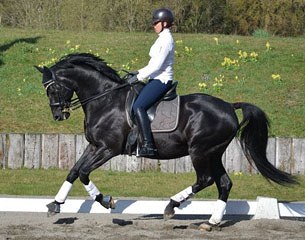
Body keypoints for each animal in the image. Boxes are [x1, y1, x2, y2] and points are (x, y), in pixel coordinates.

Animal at [35, 52, 294, 227]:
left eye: (53, 89)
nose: (58, 115)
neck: (105, 100)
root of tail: (230, 106)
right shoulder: (94, 145)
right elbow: (73, 171)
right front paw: (56, 204)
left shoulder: (108, 148)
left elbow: (83, 173)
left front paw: (106, 201)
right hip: (214, 152)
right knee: (224, 183)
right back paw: (211, 222)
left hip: (201, 151)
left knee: (206, 179)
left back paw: (172, 206)